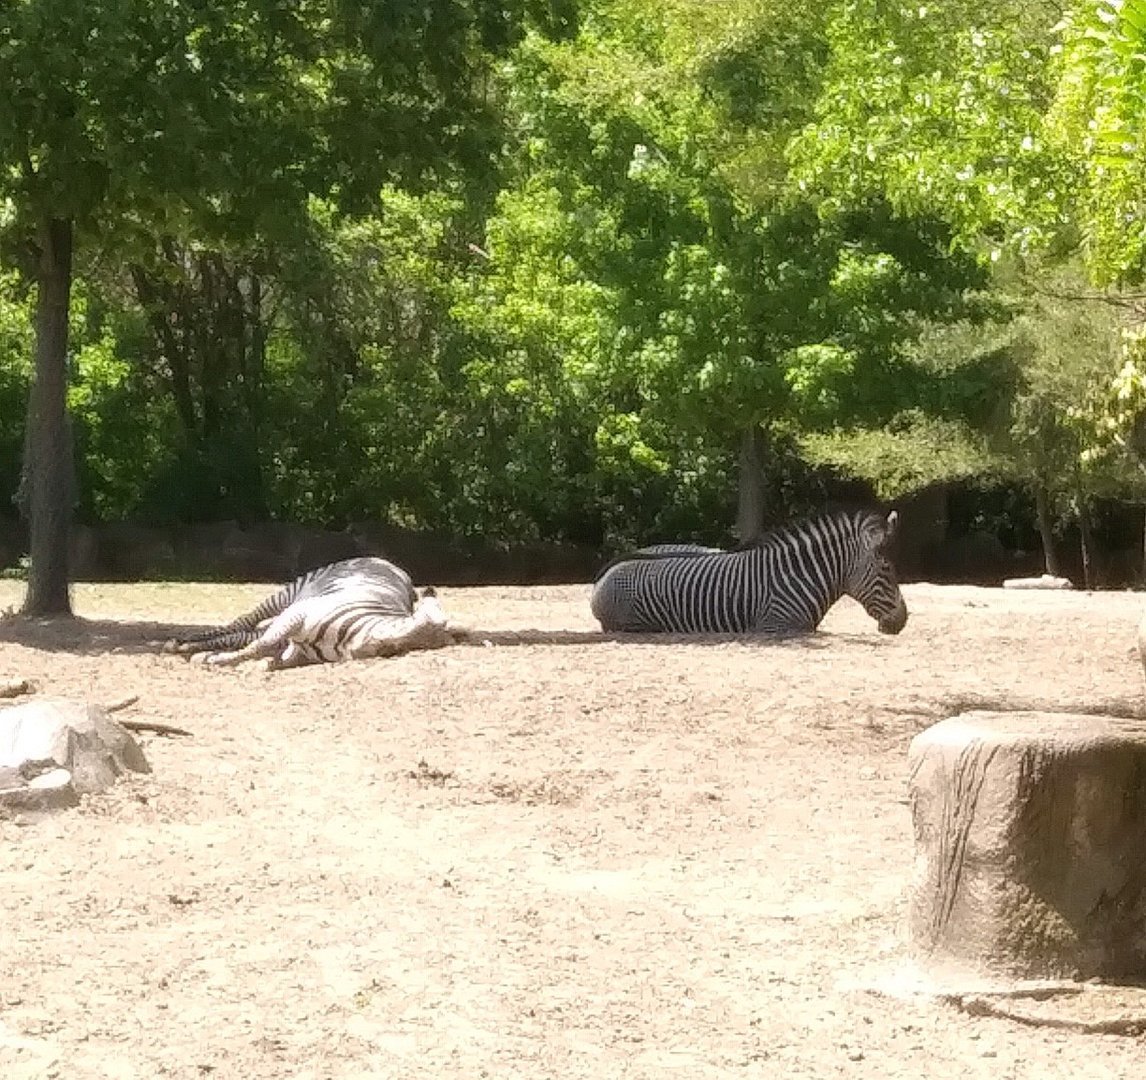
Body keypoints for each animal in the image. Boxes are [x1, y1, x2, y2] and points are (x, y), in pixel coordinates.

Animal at [169, 556, 452, 669]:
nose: (429, 590)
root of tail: (388, 562)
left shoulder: (297, 649)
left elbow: (267, 655)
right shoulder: (299, 613)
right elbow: (260, 646)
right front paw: (219, 660)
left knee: (239, 635)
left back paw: (186, 647)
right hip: (290, 594)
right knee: (242, 623)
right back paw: (180, 644)